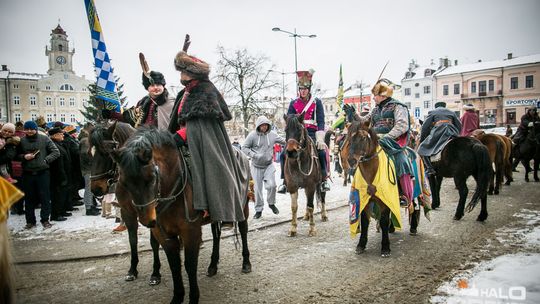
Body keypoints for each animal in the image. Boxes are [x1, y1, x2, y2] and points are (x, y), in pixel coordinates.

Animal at [86, 120, 161, 284]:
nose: (95, 189)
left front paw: (155, 272)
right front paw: (132, 270)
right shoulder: (127, 212)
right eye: (90, 153)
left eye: (106, 153)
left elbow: (154, 241)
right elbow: (132, 240)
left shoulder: (154, 212)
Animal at [110, 127, 253, 302]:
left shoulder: (190, 231)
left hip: (243, 206)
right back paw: (213, 265)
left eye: (151, 178)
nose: (147, 220)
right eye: (124, 182)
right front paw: (177, 296)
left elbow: (189, 265)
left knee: (243, 230)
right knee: (216, 235)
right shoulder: (164, 234)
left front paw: (193, 297)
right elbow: (174, 266)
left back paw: (246, 262)